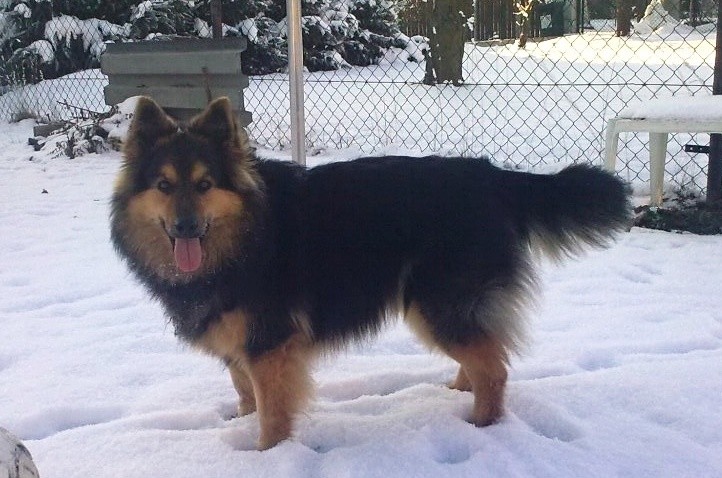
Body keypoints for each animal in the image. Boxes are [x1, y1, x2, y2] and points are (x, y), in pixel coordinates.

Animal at [110, 96, 631, 450]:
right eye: (163, 186)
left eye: (205, 185)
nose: (185, 226)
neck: (245, 235)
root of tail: (493, 177)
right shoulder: (241, 344)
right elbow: (245, 395)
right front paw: (242, 425)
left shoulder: (269, 345)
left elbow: (273, 415)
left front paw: (268, 456)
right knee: (484, 353)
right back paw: (457, 390)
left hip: (436, 304)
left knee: (495, 368)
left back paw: (481, 426)